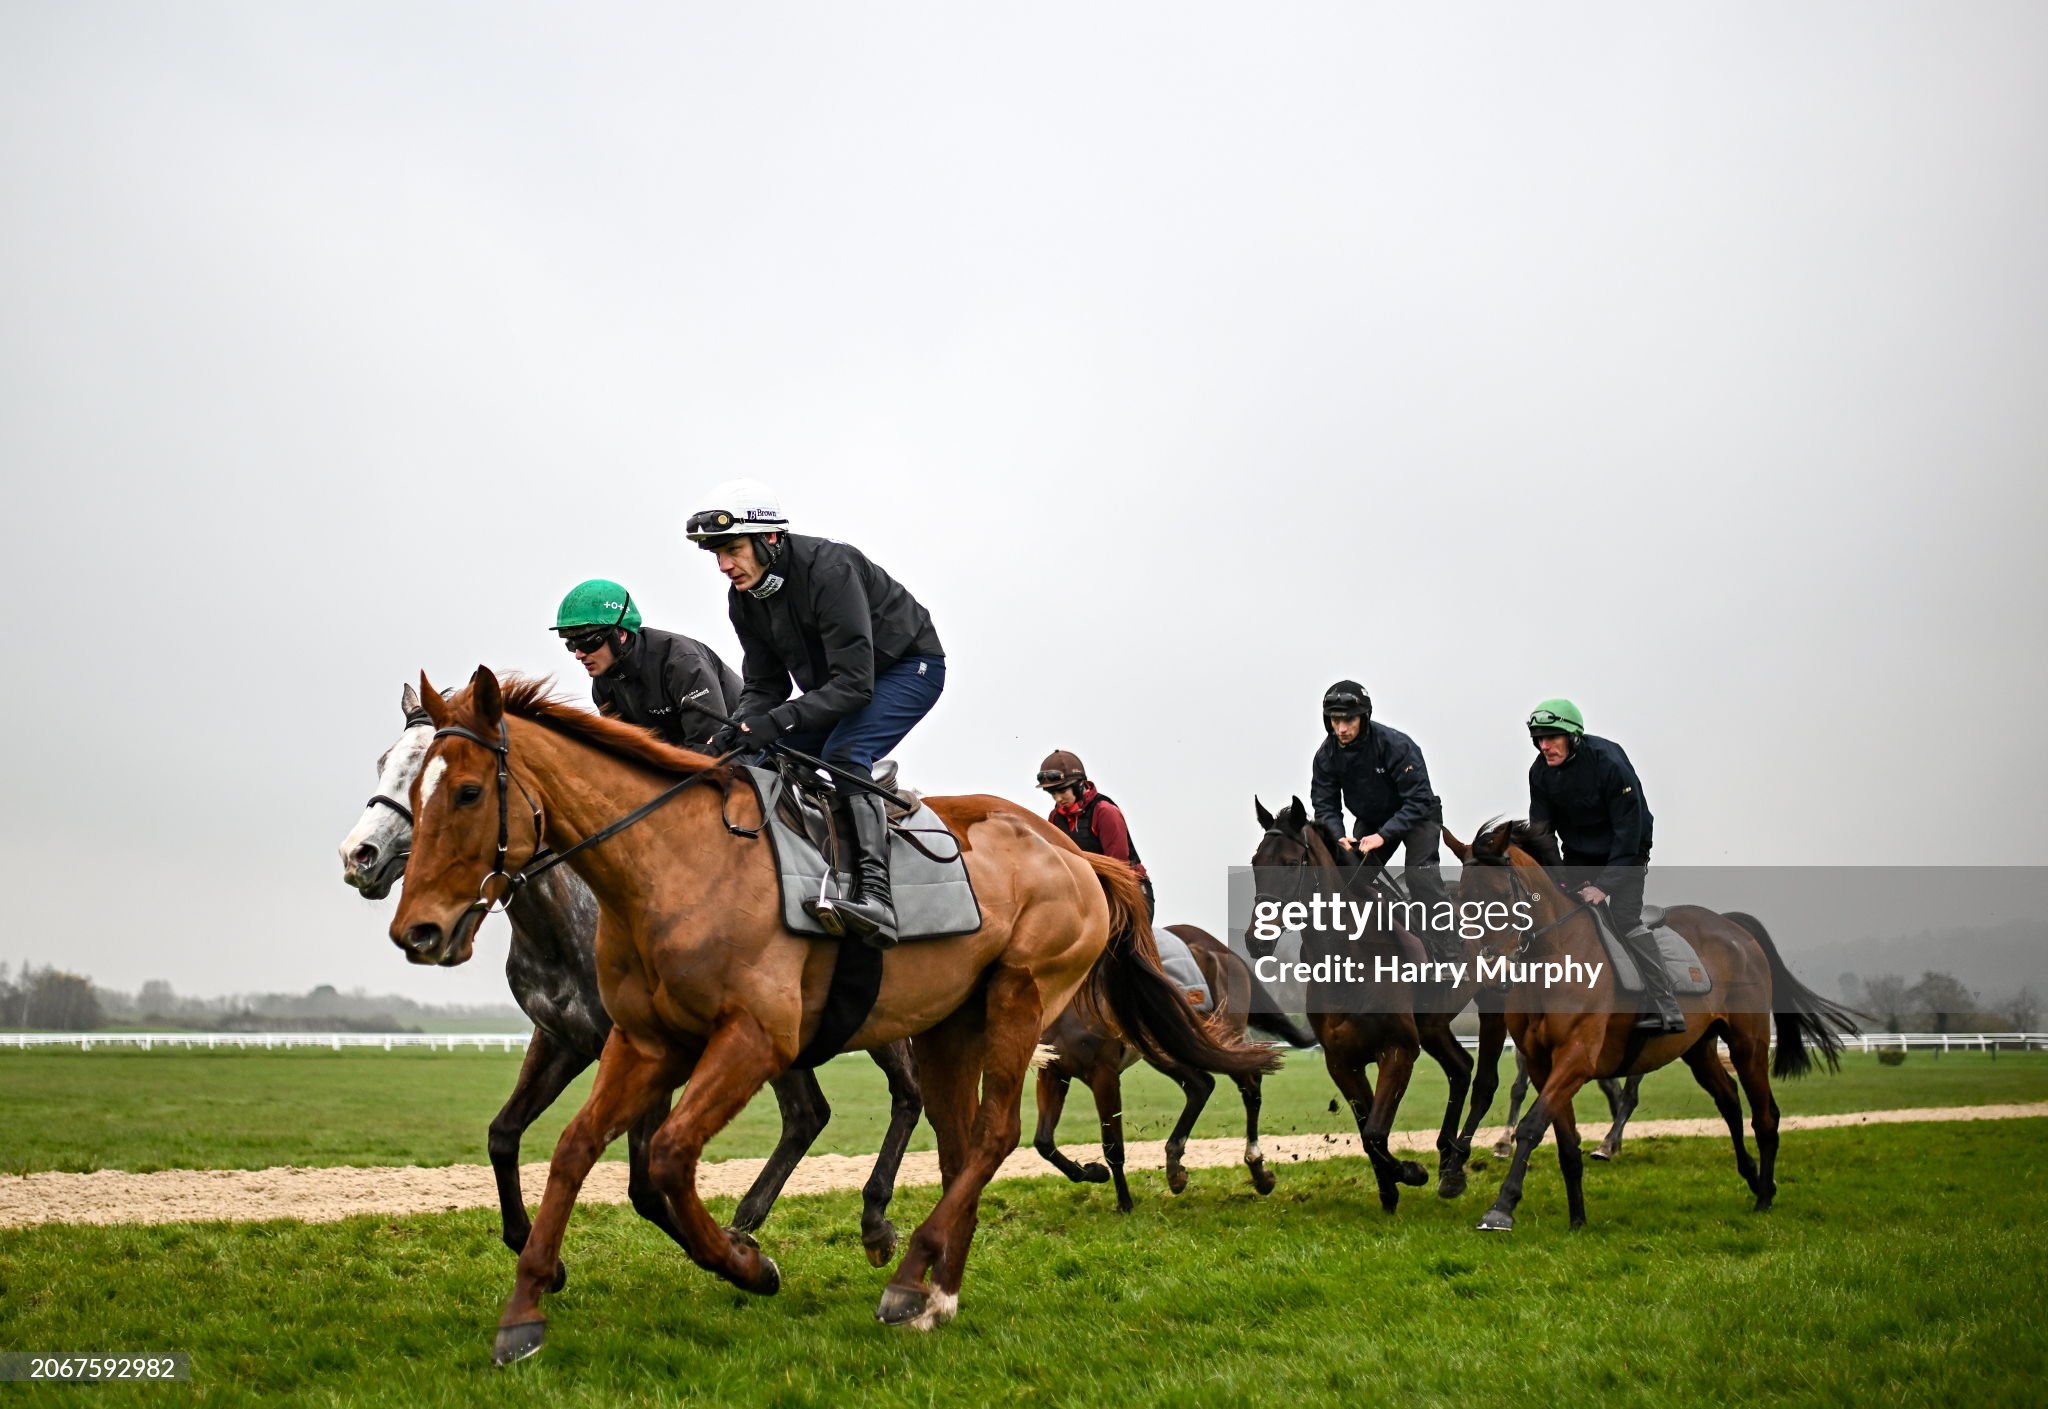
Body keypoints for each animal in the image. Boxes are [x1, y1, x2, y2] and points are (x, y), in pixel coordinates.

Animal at [391, 675, 1269, 1368]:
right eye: (409, 789)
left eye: (467, 792)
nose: (417, 930)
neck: (669, 865)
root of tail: (1074, 851)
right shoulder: (644, 1041)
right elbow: (575, 1148)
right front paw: (524, 1308)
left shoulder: (754, 1038)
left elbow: (669, 1156)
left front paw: (747, 1261)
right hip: (950, 1022)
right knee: (959, 1145)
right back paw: (935, 1291)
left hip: (1022, 995)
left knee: (995, 1133)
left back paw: (907, 1274)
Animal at [1040, 925, 1310, 1212]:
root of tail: (1219, 947)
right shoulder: (1053, 1071)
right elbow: (1043, 1142)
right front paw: (1093, 1172)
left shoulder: (1104, 1074)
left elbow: (1113, 1145)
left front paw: (1125, 1203)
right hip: (1168, 1047)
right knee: (1201, 1086)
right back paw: (1175, 1165)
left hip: (1216, 1034)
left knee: (1248, 1082)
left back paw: (1257, 1169)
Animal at [1236, 798, 1515, 1204]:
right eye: (1257, 861)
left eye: (1290, 863)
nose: (1256, 940)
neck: (1350, 958)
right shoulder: (1342, 1060)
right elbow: (1368, 1132)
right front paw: (1389, 1188)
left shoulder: (1398, 1050)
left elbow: (1375, 1132)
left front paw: (1410, 1172)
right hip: (1432, 1024)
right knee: (1461, 1068)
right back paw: (1446, 1160)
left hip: (1493, 1000)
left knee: (1485, 1081)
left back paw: (1455, 1165)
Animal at [1441, 819, 1859, 1228]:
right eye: (1463, 901)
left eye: (1501, 895)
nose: (1487, 964)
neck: (1554, 956)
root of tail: (1731, 925)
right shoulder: (1543, 1063)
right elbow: (1563, 1138)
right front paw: (1577, 1217)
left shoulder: (1576, 1058)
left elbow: (1532, 1126)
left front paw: (1502, 1207)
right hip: (1698, 1048)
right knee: (1728, 1100)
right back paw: (1755, 1179)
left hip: (1748, 1043)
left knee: (1765, 1116)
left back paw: (1765, 1196)